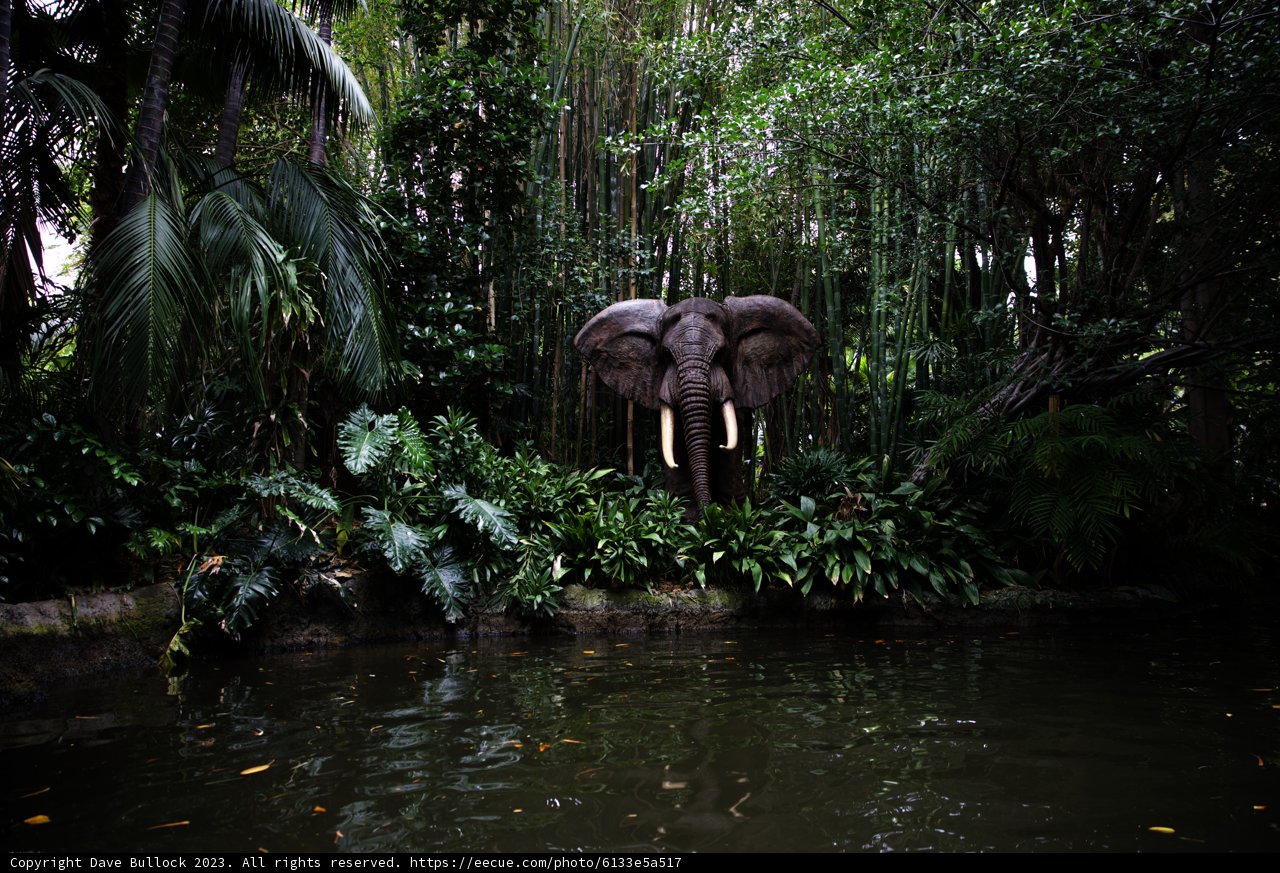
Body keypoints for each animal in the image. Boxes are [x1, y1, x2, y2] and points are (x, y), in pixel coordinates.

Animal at [574, 295, 819, 511]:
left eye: (721, 353)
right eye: (666, 354)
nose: (707, 512)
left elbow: (732, 441)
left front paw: (731, 514)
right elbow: (672, 443)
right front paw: (686, 516)